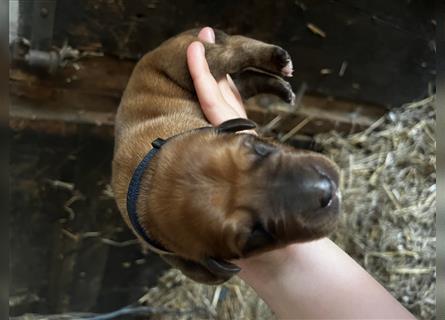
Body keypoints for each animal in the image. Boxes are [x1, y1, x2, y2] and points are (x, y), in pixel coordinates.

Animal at [112, 28, 340, 284]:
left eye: (259, 149)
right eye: (256, 235)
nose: (327, 190)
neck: (146, 177)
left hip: (184, 60)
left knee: (231, 52)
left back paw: (279, 62)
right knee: (242, 72)